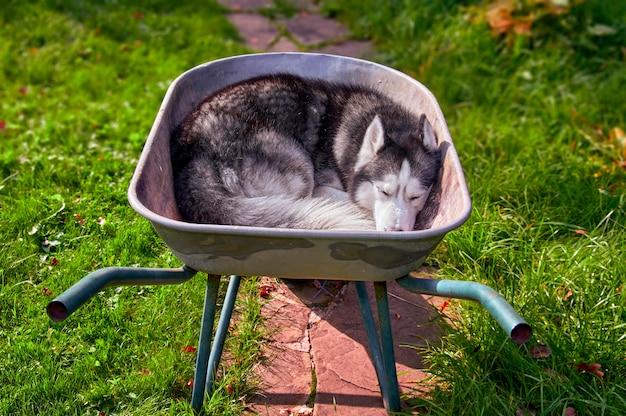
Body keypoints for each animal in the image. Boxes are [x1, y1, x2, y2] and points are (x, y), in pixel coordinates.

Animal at [169, 74, 438, 231]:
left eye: (416, 197)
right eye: (383, 191)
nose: (395, 232)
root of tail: (194, 152)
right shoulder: (324, 187)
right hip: (300, 169)